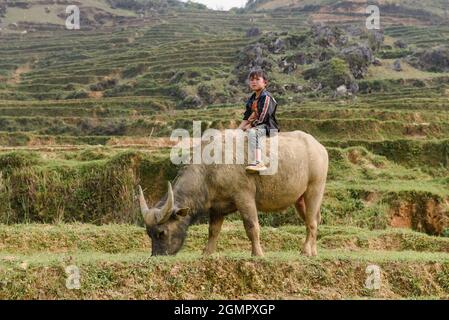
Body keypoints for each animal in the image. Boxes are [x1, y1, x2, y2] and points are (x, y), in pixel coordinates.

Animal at [136, 129, 326, 256]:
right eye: (148, 234)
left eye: (161, 233)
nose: (157, 256)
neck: (210, 169)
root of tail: (319, 147)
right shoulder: (216, 207)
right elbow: (213, 231)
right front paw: (207, 254)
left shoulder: (244, 198)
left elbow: (251, 226)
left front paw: (257, 254)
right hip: (299, 199)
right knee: (313, 220)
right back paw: (314, 251)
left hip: (315, 189)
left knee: (311, 222)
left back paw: (305, 251)